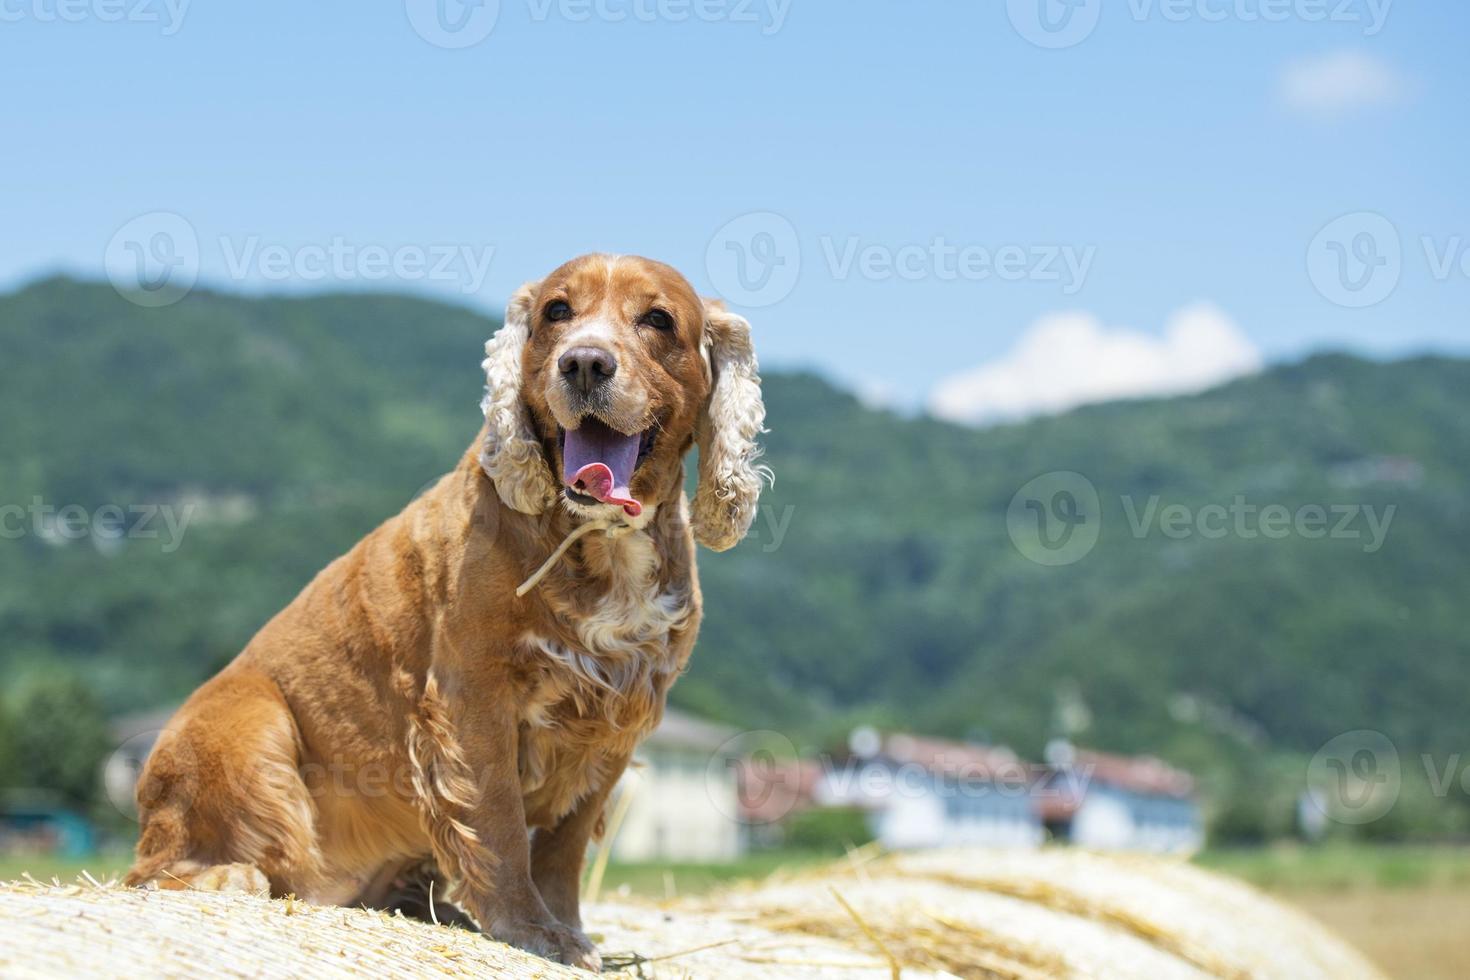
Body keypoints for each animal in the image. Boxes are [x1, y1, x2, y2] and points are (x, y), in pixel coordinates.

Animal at [123, 255, 770, 975]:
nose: (583, 363)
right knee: (155, 869)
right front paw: (530, 930)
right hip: (248, 726)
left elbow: (566, 846)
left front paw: (570, 935)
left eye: (657, 319)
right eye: (557, 311)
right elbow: (499, 821)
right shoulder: (473, 695)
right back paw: (230, 877)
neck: (598, 538)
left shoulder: (617, 718)